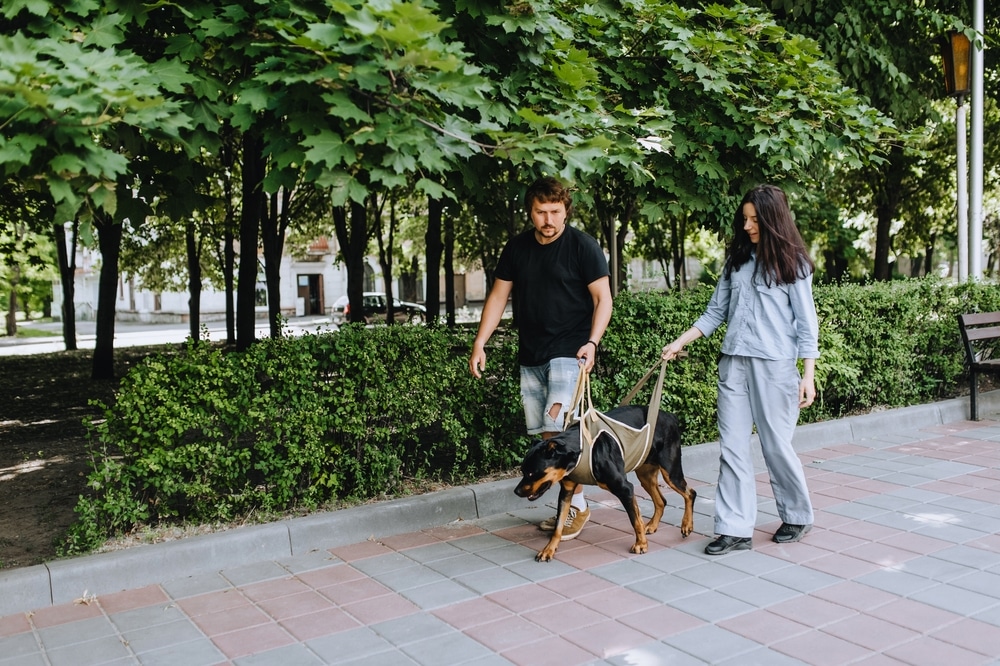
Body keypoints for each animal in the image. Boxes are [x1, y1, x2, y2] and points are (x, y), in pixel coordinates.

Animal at [516, 402, 696, 564]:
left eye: (532, 473)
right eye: (522, 471)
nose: (516, 492)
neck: (581, 449)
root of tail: (670, 416)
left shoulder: (625, 489)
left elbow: (635, 521)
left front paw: (641, 544)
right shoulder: (566, 492)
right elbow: (558, 526)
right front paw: (548, 550)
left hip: (670, 471)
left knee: (690, 493)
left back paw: (686, 525)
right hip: (645, 474)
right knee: (661, 500)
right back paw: (652, 525)